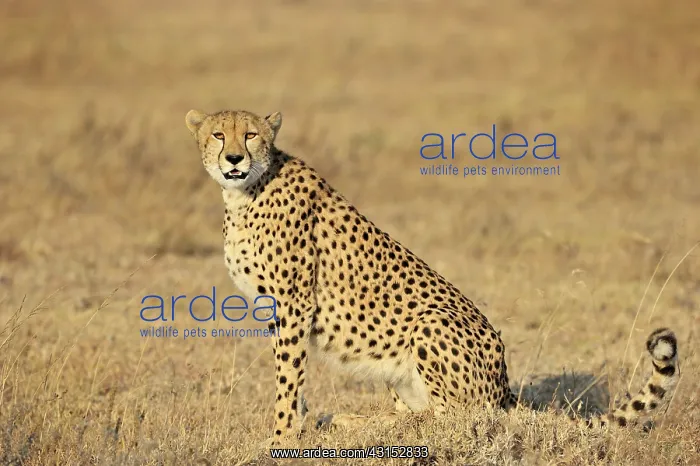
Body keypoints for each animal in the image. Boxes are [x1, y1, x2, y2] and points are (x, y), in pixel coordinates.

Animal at [184, 108, 680, 445]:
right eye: (218, 134)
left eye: (250, 134)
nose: (233, 158)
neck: (245, 193)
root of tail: (504, 387)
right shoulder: (280, 311)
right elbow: (293, 377)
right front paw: (297, 426)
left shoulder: (294, 304)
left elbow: (288, 378)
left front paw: (281, 438)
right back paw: (357, 422)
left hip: (430, 322)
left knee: (455, 419)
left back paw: (360, 423)